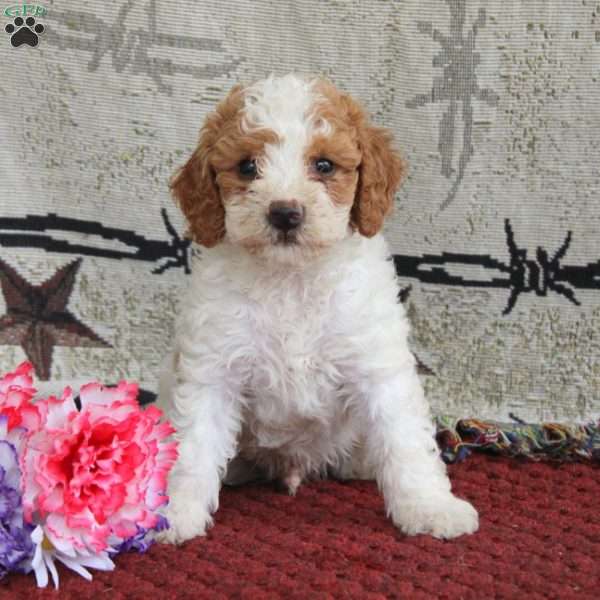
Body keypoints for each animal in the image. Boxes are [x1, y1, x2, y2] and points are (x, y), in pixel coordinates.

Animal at [158, 75, 478, 544]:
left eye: (324, 165)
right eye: (247, 167)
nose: (285, 214)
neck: (292, 279)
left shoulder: (377, 364)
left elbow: (405, 441)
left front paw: (429, 507)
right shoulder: (212, 370)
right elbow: (193, 446)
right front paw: (173, 512)